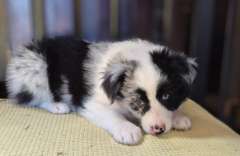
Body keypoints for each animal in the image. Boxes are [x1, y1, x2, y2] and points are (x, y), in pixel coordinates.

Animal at [6, 36, 197, 145]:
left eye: (167, 95)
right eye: (138, 100)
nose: (159, 129)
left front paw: (178, 117)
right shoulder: (91, 104)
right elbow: (112, 116)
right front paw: (127, 129)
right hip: (35, 67)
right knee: (32, 97)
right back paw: (57, 105)